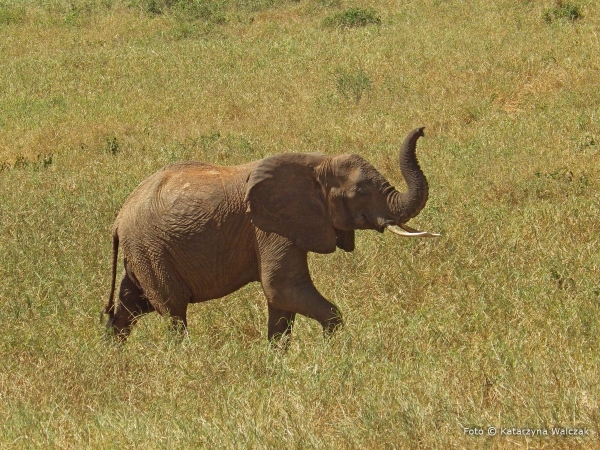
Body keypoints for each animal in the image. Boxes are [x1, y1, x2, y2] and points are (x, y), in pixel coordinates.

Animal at [104, 127, 440, 344]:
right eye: (360, 192)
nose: (423, 130)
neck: (317, 162)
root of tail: (119, 219)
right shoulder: (268, 229)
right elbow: (282, 287)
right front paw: (334, 351)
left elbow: (281, 303)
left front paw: (278, 362)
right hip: (151, 248)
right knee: (172, 311)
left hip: (143, 252)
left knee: (129, 305)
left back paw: (114, 357)